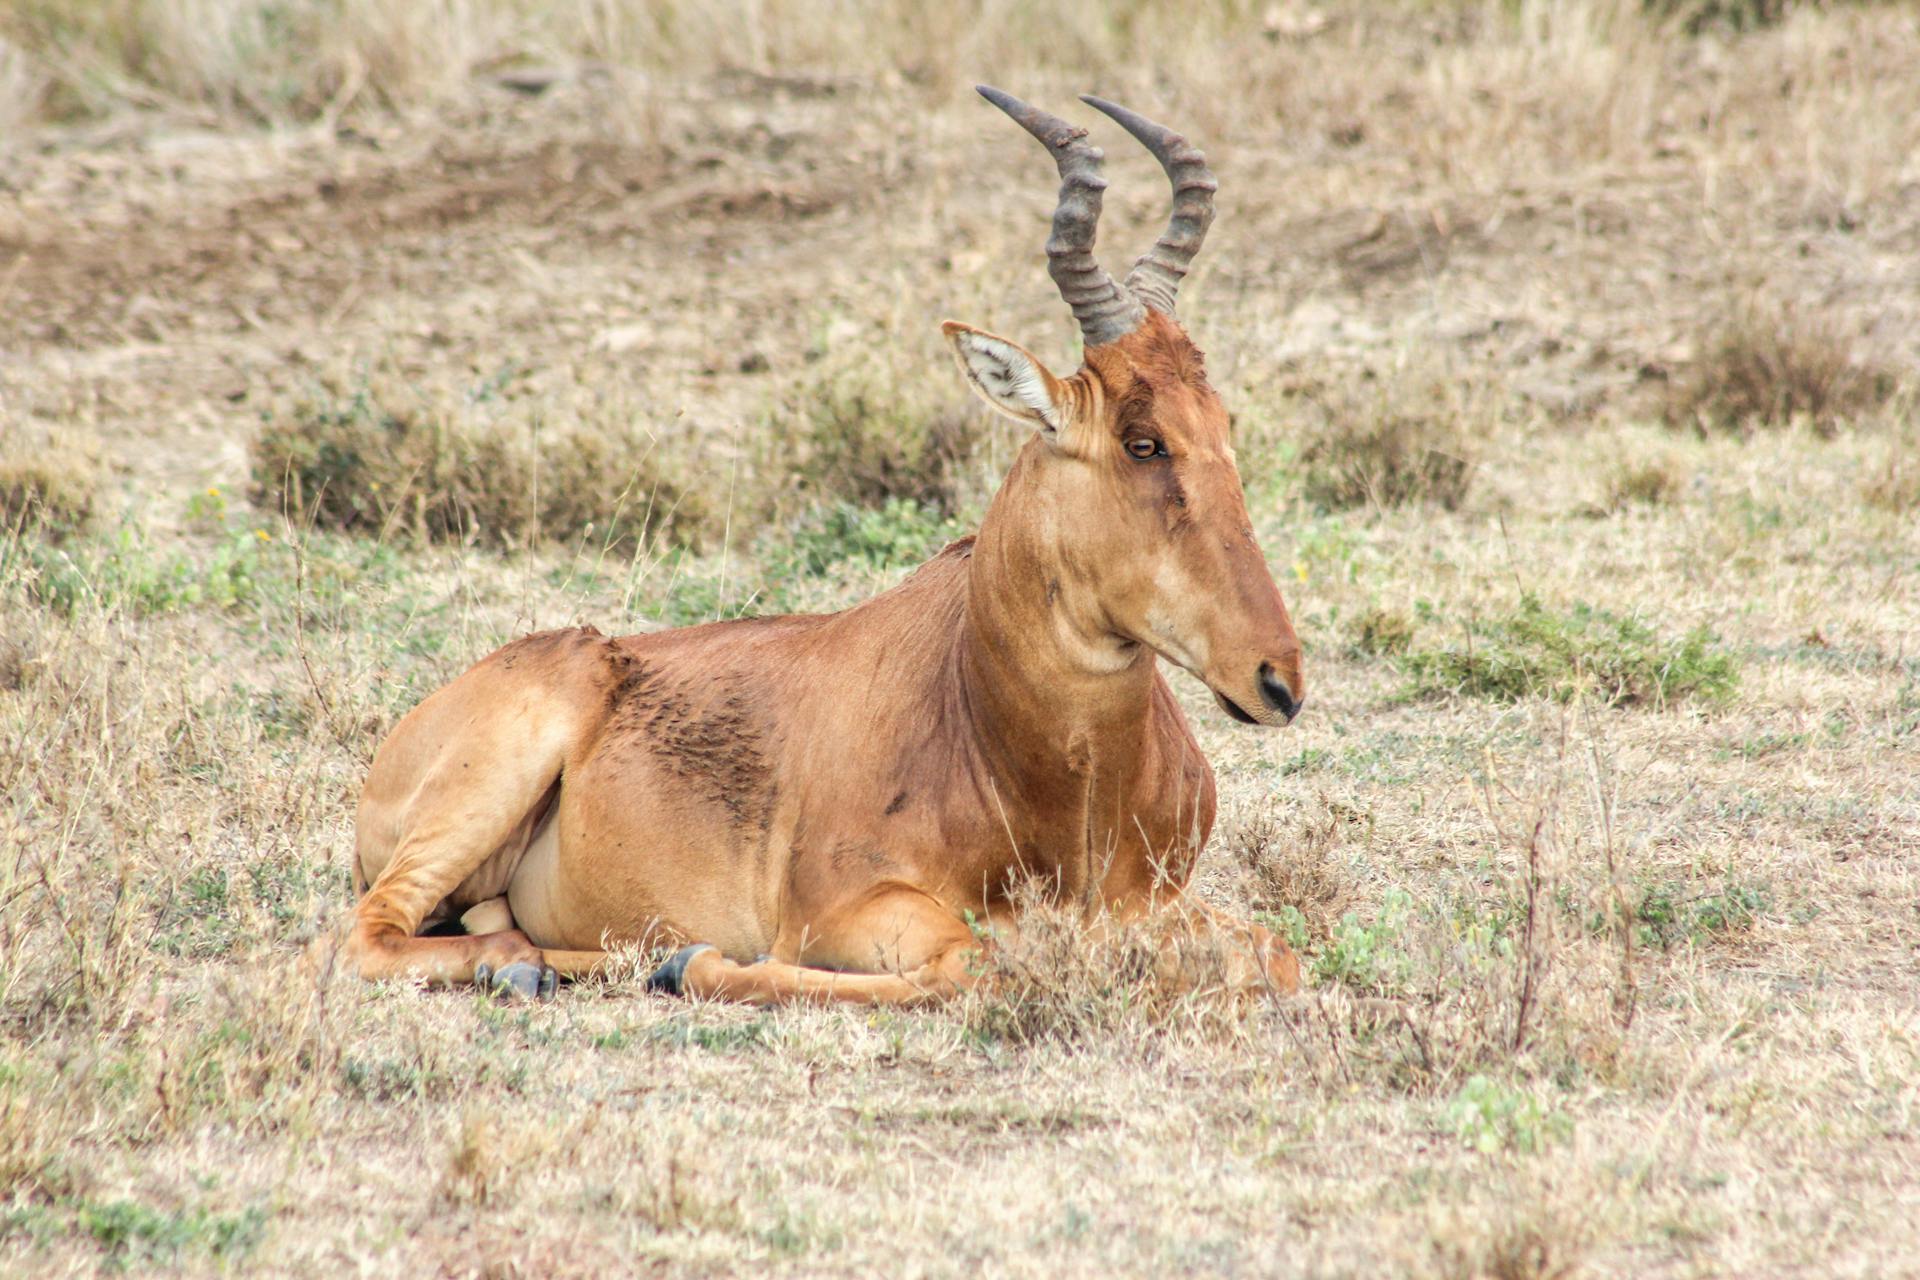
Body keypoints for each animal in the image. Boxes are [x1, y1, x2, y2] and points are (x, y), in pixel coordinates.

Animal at [341, 87, 1305, 1013]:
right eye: (1142, 442)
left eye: (1219, 421)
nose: (1278, 681)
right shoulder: (839, 912)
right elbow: (967, 965)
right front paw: (690, 966)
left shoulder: (1161, 901)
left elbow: (1277, 956)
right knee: (363, 938)